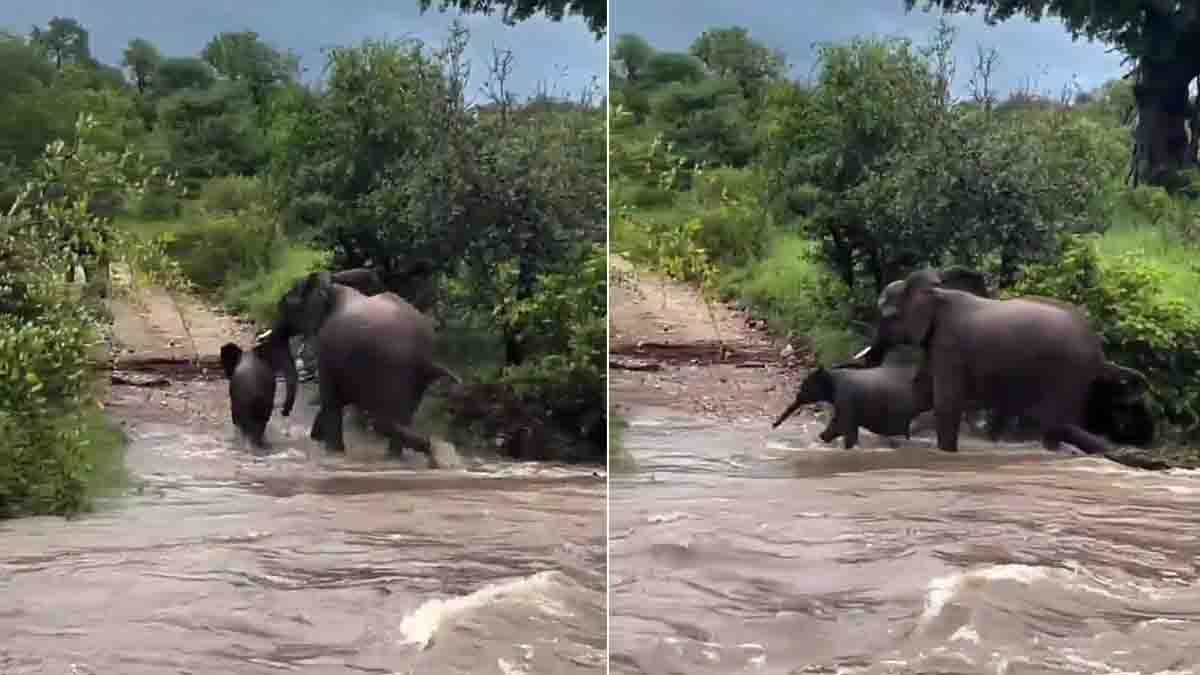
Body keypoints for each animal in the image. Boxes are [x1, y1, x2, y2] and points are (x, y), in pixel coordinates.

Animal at [272, 271, 461, 464]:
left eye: (285, 306)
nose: (284, 412)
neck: (330, 287)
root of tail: (422, 352)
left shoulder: (326, 347)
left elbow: (331, 396)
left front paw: (332, 451)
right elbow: (342, 396)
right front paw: (320, 439)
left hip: (391, 365)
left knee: (383, 420)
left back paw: (431, 450)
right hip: (415, 375)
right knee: (401, 416)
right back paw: (407, 454)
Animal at [772, 362, 933, 449]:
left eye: (805, 387)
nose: (773, 425)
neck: (831, 373)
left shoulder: (846, 397)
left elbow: (846, 428)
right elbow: (837, 426)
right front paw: (822, 440)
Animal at [848, 267, 1152, 455]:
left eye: (888, 316)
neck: (935, 293)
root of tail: (1099, 352)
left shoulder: (950, 344)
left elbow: (945, 403)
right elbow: (919, 393)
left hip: (1069, 372)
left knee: (1056, 423)